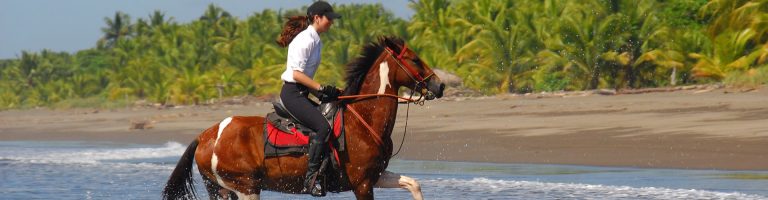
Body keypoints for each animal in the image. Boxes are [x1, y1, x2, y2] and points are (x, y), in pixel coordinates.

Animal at [163, 36, 448, 199]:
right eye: (414, 59)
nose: (440, 85)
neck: (363, 122)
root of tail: (206, 135)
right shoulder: (362, 184)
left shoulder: (375, 176)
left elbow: (414, 185)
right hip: (245, 187)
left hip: (221, 190)